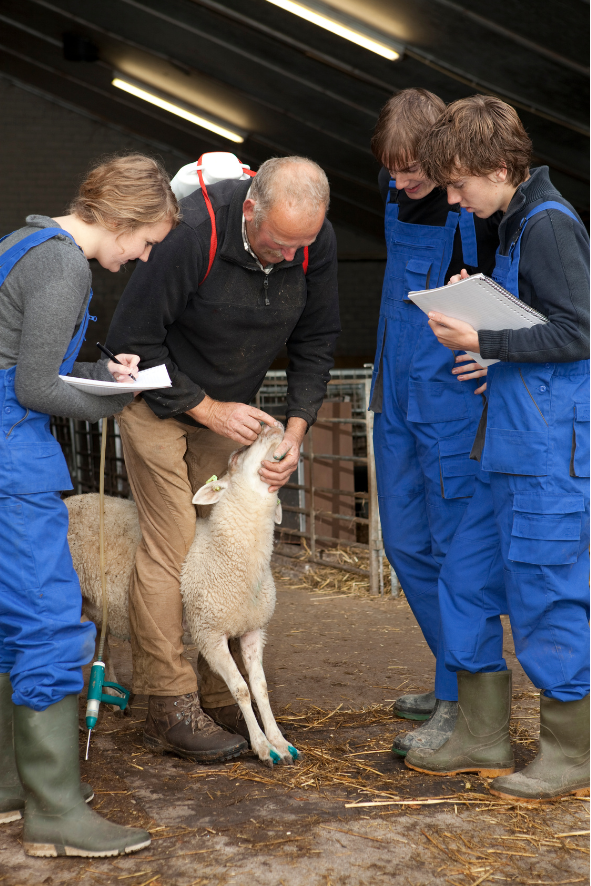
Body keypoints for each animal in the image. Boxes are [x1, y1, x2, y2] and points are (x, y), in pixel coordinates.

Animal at [67, 424, 300, 772]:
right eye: (237, 456)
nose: (272, 426)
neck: (228, 552)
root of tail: (71, 500)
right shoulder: (209, 633)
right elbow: (241, 689)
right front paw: (261, 746)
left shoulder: (253, 629)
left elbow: (260, 688)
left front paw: (279, 743)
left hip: (96, 601)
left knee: (101, 637)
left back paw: (109, 692)